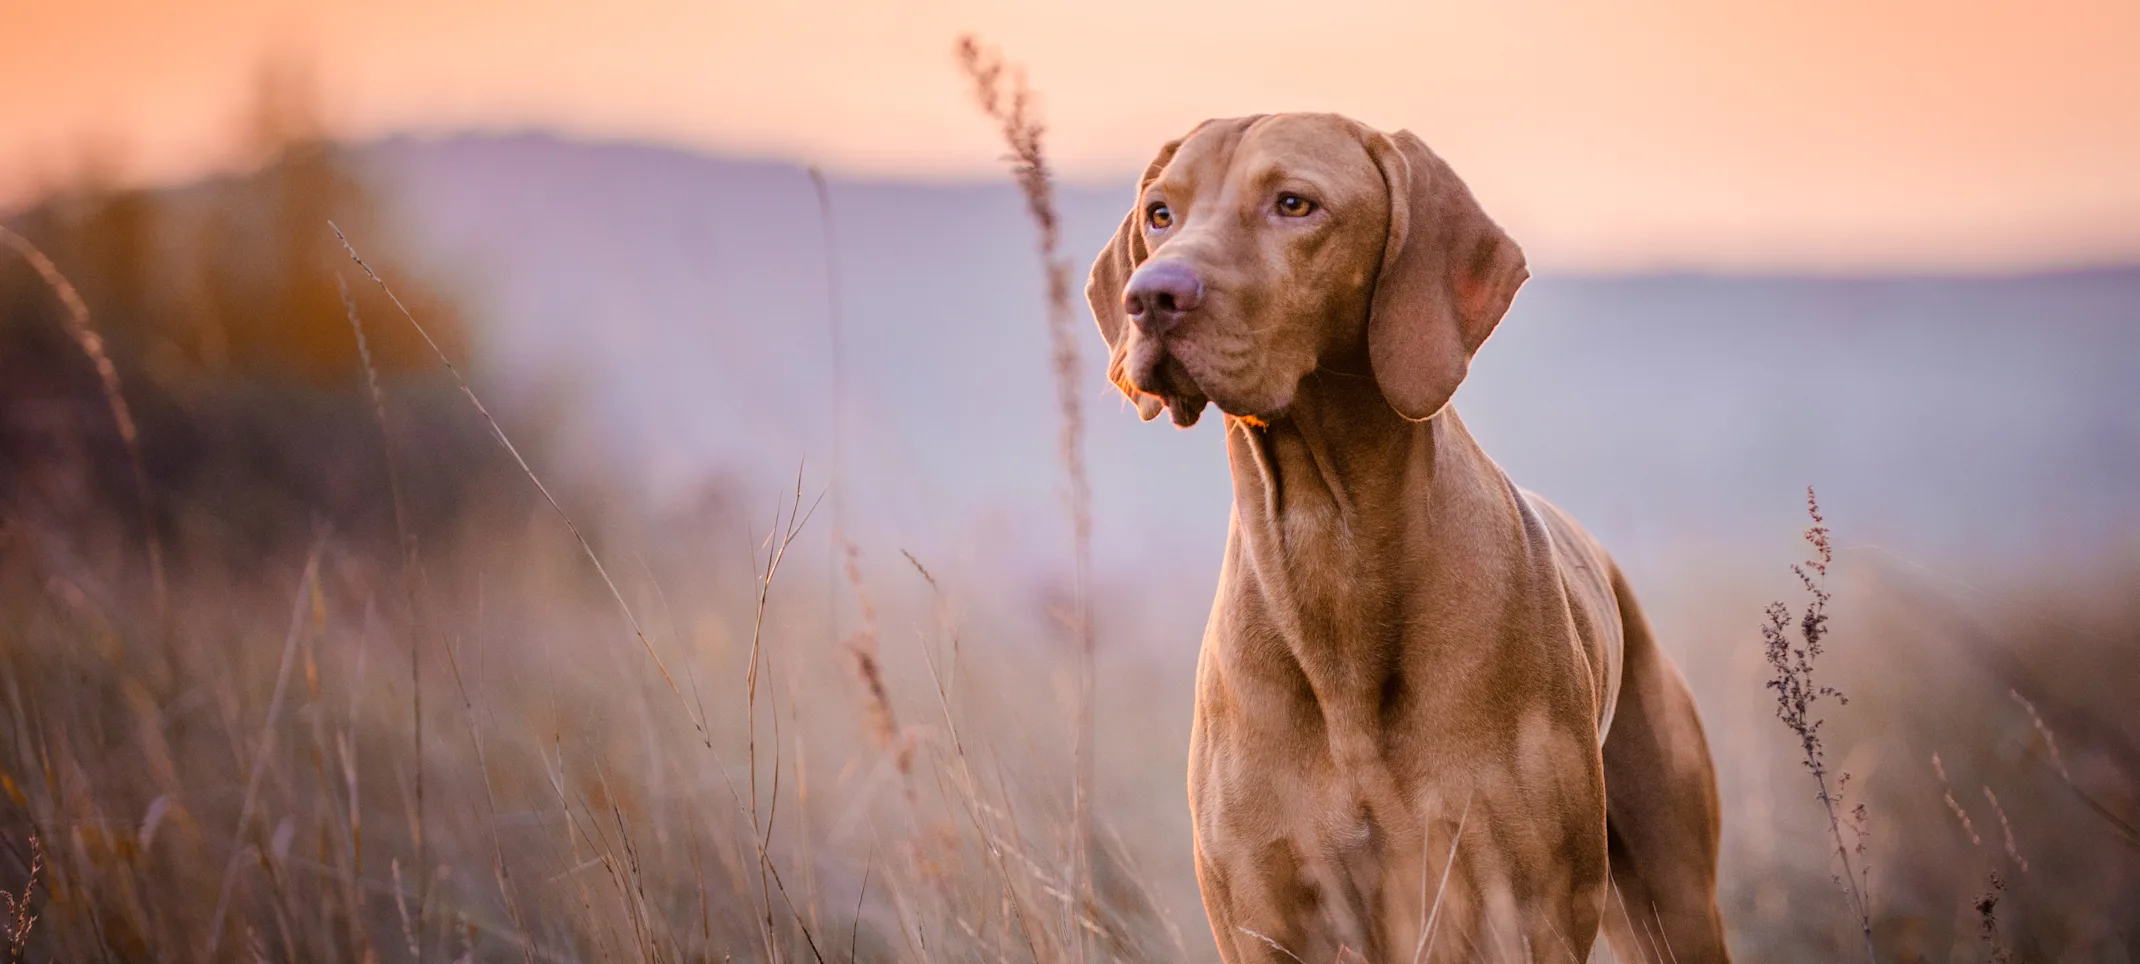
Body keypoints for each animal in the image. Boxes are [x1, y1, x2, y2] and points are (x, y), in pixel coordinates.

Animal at [1095, 113, 1729, 964]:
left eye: (1294, 203)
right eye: (1160, 213)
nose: (1151, 296)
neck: (1331, 549)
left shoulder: (1525, 909)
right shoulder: (1264, 918)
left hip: (1675, 903)